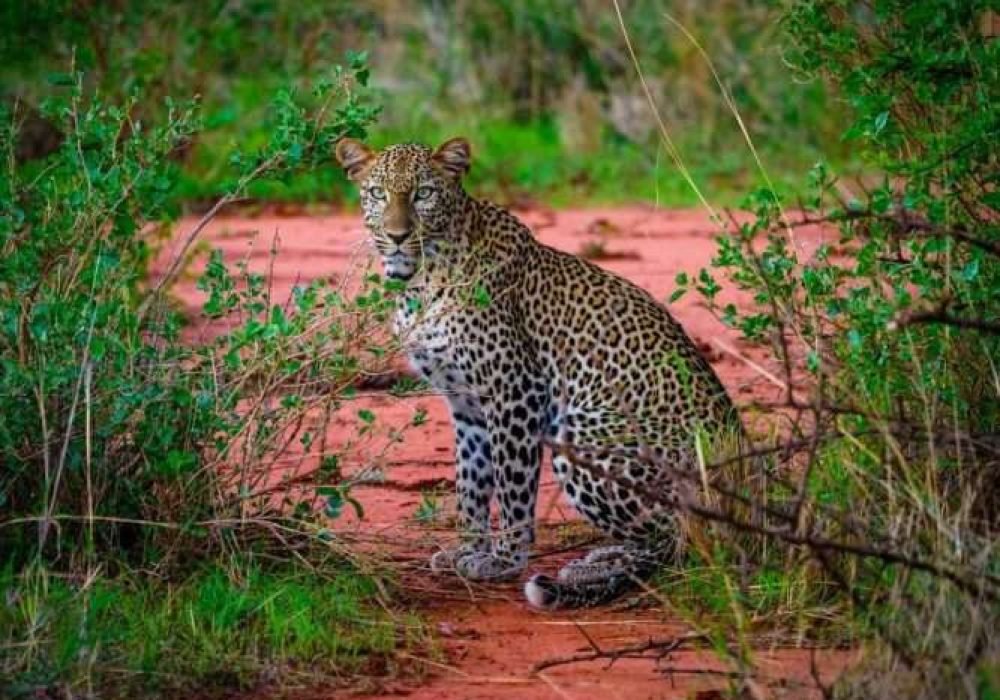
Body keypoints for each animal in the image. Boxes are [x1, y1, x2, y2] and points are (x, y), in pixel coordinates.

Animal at [335, 136, 741, 609]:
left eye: (424, 193)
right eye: (377, 193)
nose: (398, 236)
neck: (421, 280)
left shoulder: (515, 390)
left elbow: (512, 483)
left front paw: (504, 559)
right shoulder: (466, 404)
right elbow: (471, 481)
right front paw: (466, 550)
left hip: (585, 433)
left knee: (679, 539)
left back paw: (594, 569)